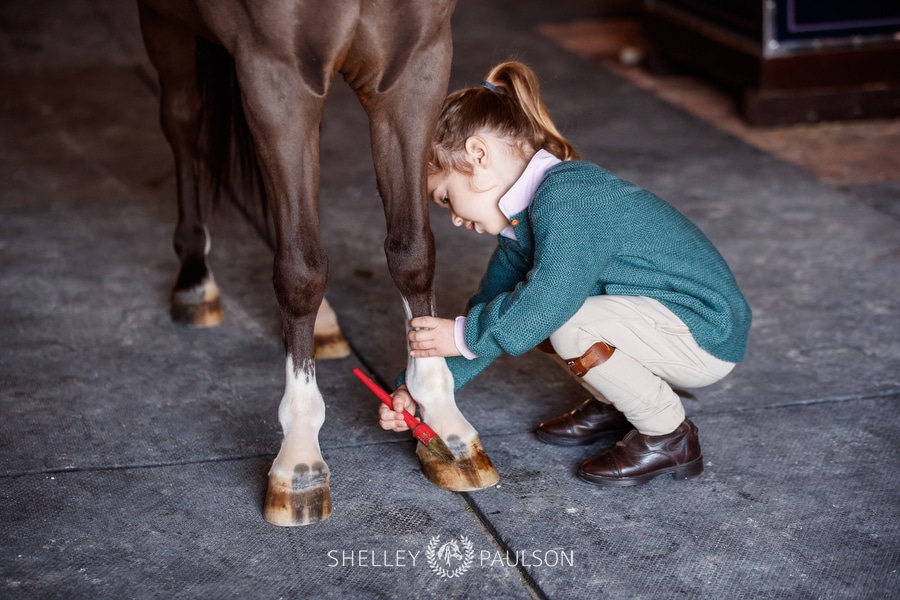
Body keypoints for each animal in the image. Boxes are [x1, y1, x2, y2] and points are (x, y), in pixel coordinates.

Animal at [135, 0, 500, 524]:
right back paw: (194, 280)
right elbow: (301, 273)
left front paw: (443, 420)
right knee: (183, 120)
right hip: (166, 24)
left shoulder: (417, 66)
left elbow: (412, 251)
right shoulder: (275, 76)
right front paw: (300, 455)